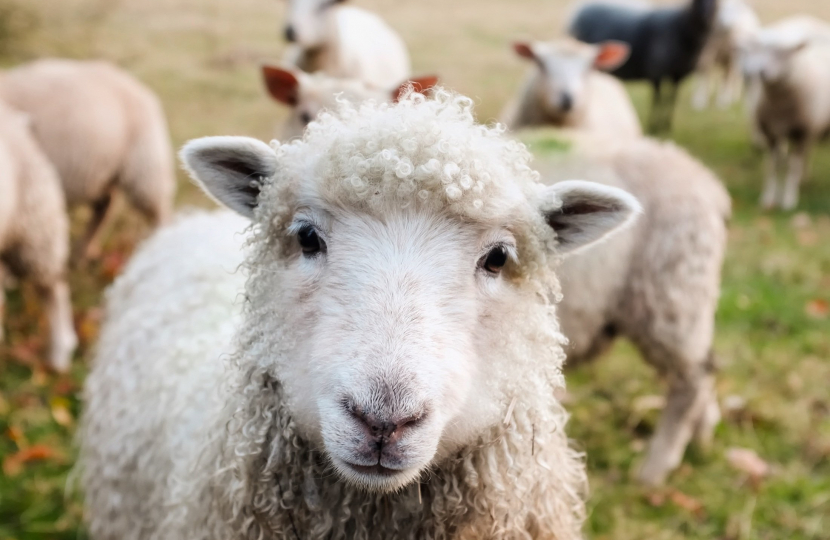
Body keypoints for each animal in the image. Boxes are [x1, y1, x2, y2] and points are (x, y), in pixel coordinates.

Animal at [569, 0, 718, 132]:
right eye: (696, 1)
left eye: (716, 2)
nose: (705, 14)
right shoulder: (656, 72)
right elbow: (658, 100)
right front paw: (654, 126)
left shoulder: (678, 75)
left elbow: (671, 100)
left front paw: (666, 125)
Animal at [741, 17, 830, 210]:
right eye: (759, 50)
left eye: (784, 53)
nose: (761, 72)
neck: (780, 105)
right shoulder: (770, 132)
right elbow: (773, 165)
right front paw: (768, 198)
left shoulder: (802, 132)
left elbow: (792, 166)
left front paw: (789, 199)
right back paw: (804, 178)